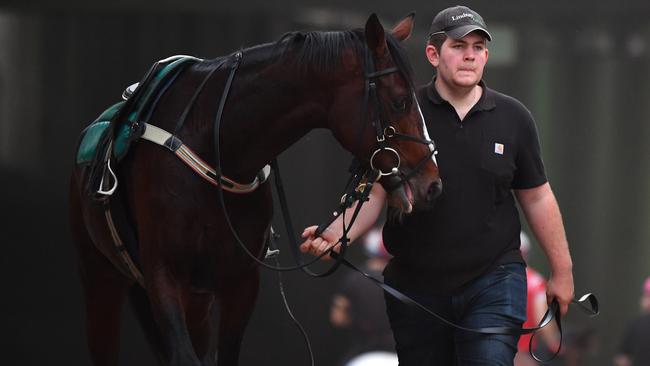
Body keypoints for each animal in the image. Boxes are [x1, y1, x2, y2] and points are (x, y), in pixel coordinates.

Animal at [69, 12, 440, 364]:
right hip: (101, 277)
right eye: (401, 101)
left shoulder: (240, 281)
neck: (212, 142)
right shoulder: (164, 273)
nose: (432, 182)